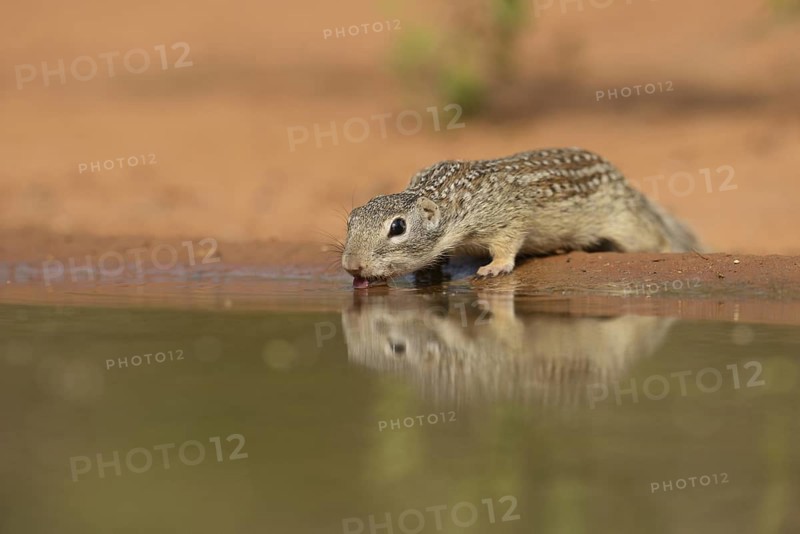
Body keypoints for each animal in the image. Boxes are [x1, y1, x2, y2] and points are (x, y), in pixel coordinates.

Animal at [342, 147, 702, 288]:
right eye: (351, 221)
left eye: (398, 227)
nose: (352, 265)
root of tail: (623, 181)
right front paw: (429, 271)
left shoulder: (505, 215)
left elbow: (507, 241)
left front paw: (494, 267)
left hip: (627, 224)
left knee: (655, 237)